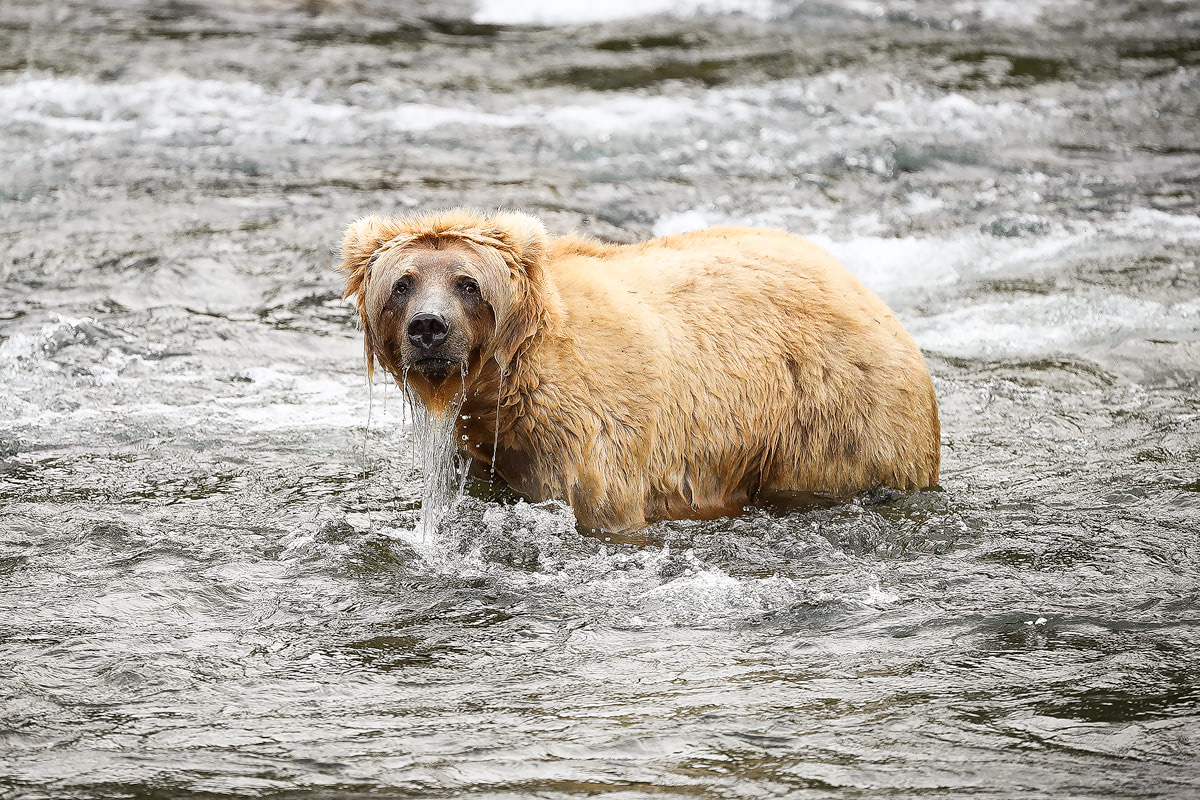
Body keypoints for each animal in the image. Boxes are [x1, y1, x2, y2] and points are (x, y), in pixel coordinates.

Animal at [338, 209, 936, 532]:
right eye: (403, 283)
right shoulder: (489, 443)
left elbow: (600, 504)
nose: (429, 328)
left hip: (835, 417)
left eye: (467, 283)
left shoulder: (583, 432)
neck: (505, 384)